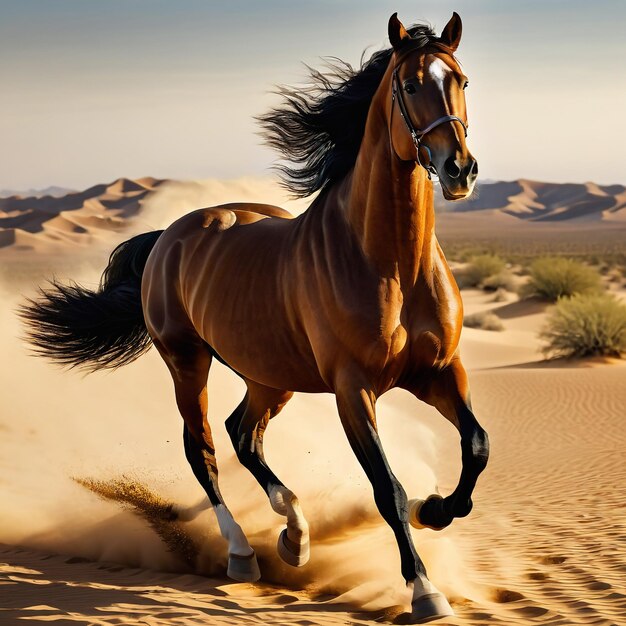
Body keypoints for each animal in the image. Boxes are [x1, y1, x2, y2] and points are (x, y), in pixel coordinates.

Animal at [20, 12, 488, 620]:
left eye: (461, 80)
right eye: (409, 85)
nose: (459, 170)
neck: (387, 261)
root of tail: (169, 236)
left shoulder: (438, 372)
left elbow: (476, 447)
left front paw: (434, 510)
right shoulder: (353, 389)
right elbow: (388, 489)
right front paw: (425, 590)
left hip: (271, 376)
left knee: (243, 434)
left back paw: (295, 536)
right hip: (187, 362)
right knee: (204, 449)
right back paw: (244, 552)